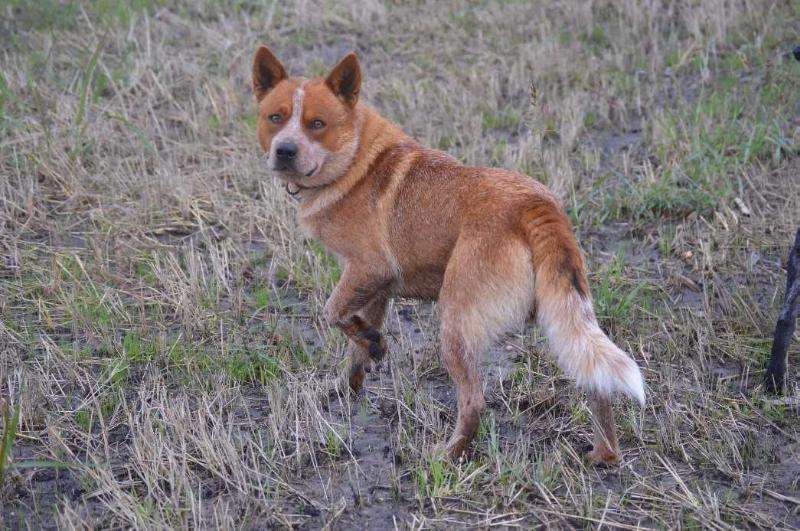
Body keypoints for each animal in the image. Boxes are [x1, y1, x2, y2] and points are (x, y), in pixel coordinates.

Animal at [253, 47, 648, 464]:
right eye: (275, 118)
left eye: (317, 124)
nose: (285, 150)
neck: (357, 159)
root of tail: (535, 206)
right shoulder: (378, 288)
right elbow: (354, 343)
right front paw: (353, 381)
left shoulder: (369, 269)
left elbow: (332, 314)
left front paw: (373, 345)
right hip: (563, 313)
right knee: (596, 381)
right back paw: (604, 453)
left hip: (456, 322)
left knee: (474, 402)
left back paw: (447, 456)